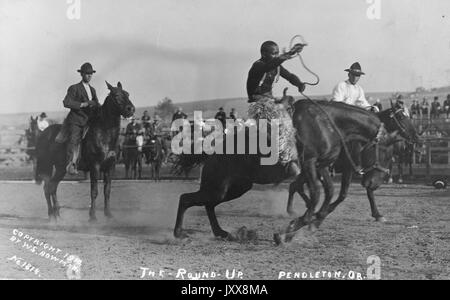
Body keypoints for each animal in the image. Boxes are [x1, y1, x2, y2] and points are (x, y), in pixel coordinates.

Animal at [35, 81, 134, 220]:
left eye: (127, 94)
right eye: (116, 95)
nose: (131, 109)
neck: (104, 133)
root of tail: (43, 134)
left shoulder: (110, 166)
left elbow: (107, 191)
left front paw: (108, 214)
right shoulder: (95, 166)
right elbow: (94, 191)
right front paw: (92, 217)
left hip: (60, 168)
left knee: (52, 187)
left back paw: (57, 215)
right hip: (47, 166)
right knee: (47, 188)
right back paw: (51, 215)